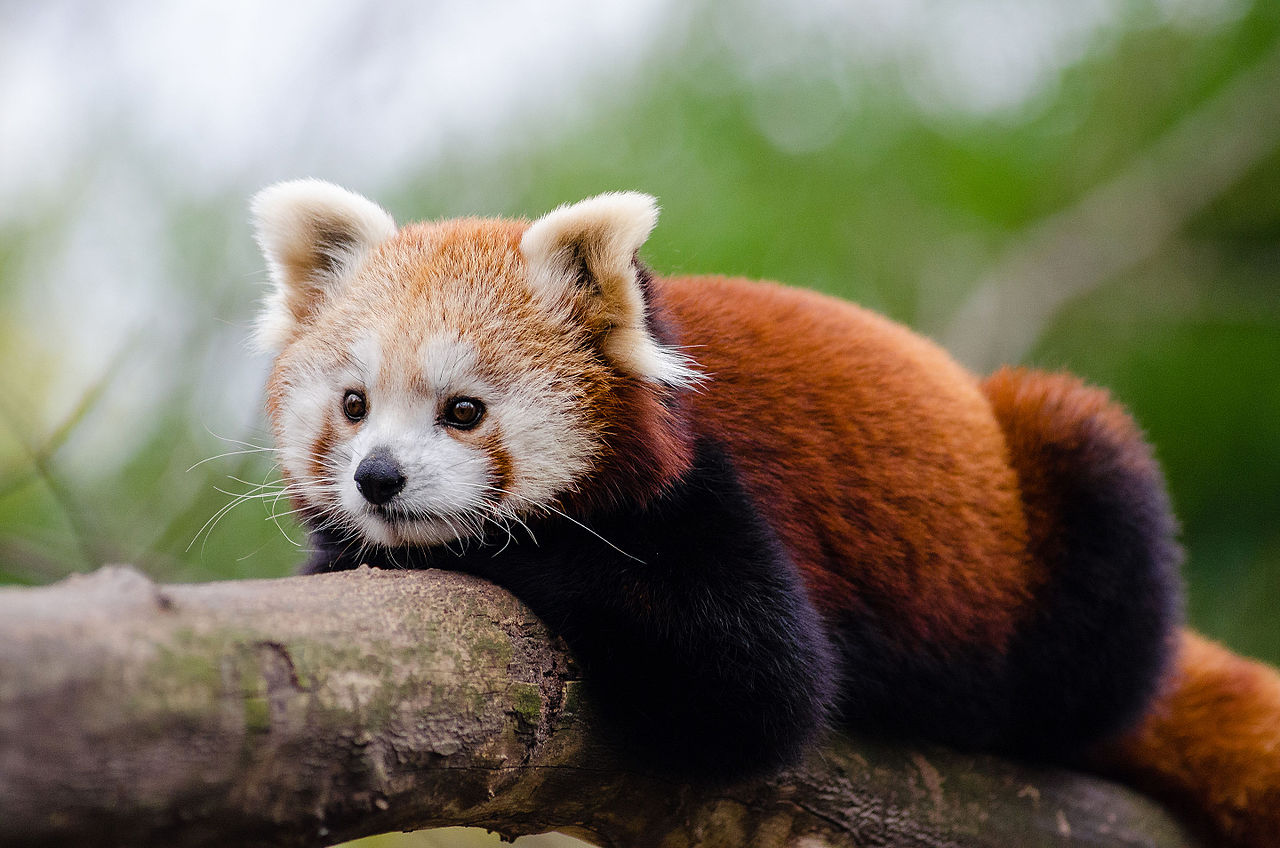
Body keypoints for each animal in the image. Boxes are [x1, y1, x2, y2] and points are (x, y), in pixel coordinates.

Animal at [249, 183, 1280, 845]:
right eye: (353, 405)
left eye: (463, 412)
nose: (378, 478)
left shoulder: (713, 492)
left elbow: (763, 686)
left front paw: (495, 548)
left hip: (1070, 507)